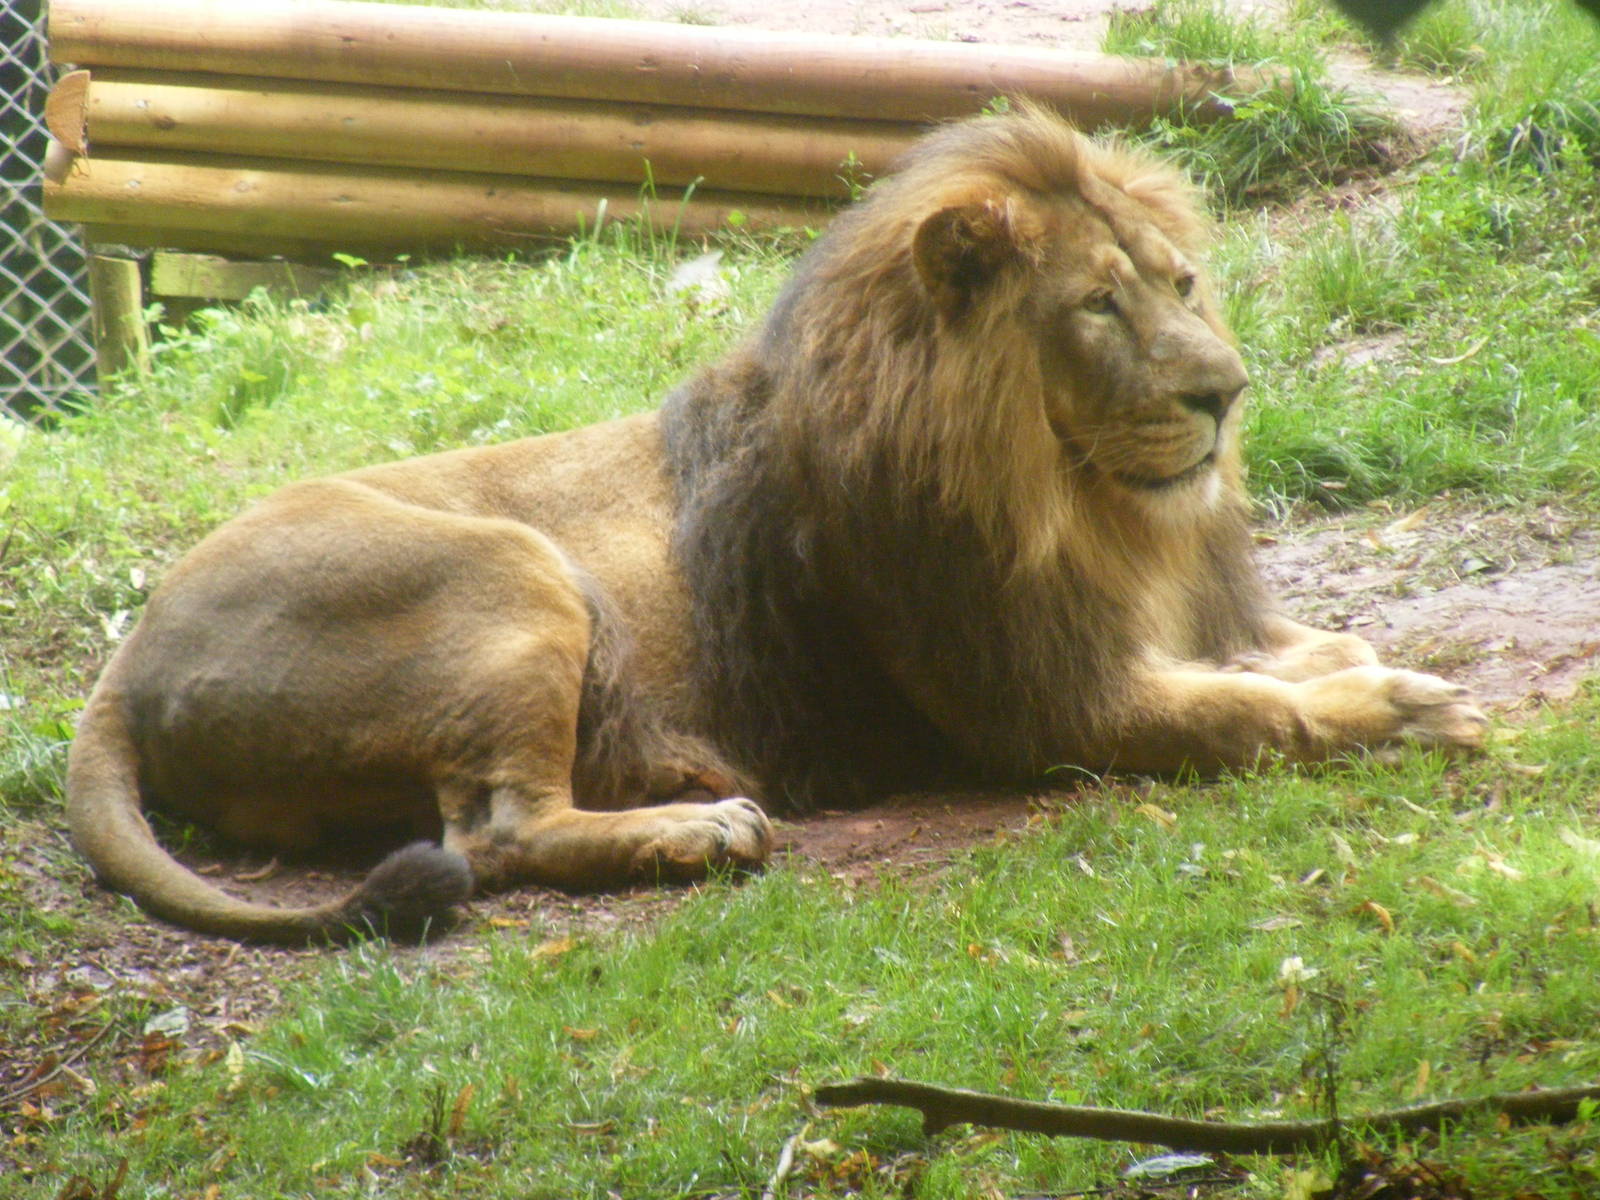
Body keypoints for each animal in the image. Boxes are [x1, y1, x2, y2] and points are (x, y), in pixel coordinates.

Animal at [66, 106, 1486, 943]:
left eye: (1182, 284)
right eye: (1095, 304)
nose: (1225, 392)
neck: (1087, 507)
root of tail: (127, 657)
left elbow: (1290, 653)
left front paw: (1361, 664)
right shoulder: (1047, 708)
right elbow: (1250, 712)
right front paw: (1407, 709)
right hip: (514, 572)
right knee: (497, 833)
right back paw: (695, 829)